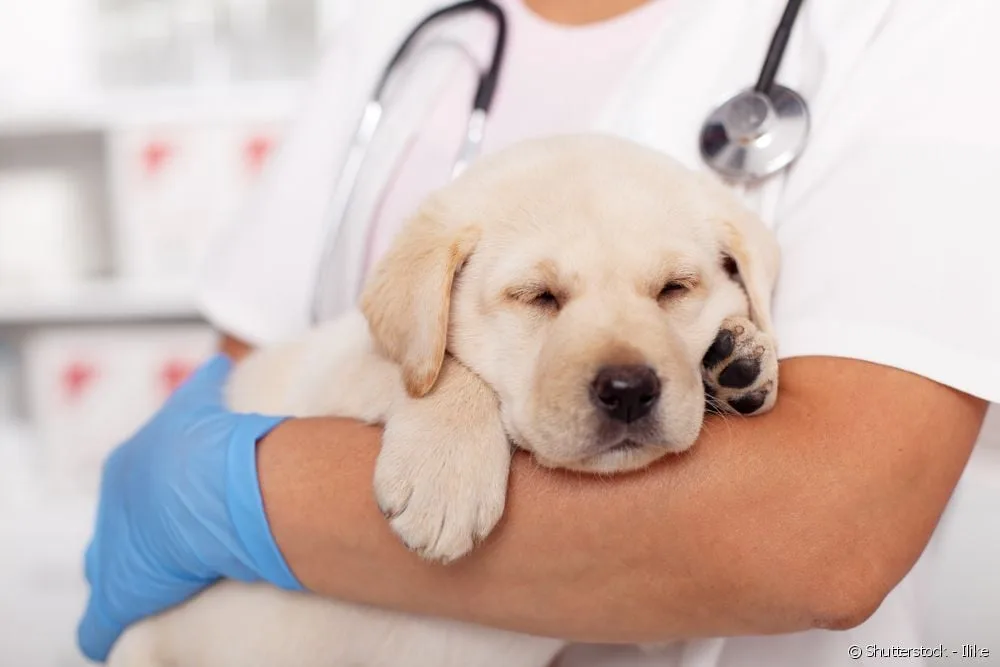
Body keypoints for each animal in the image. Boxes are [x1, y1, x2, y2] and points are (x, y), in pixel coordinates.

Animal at [107, 133, 780, 667]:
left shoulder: (650, 629)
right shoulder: (327, 379)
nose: (630, 389)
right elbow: (439, 368)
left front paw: (740, 354)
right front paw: (444, 477)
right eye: (538, 297)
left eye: (674, 289)